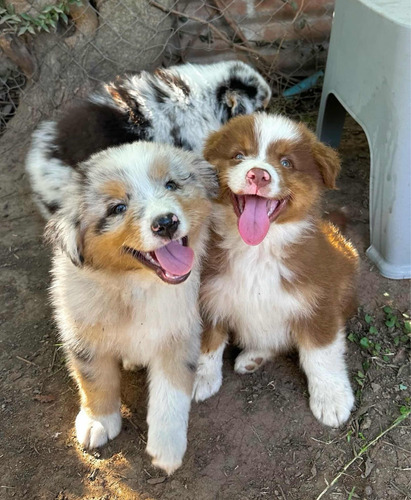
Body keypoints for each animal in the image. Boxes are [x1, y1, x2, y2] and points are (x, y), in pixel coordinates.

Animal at [44, 140, 219, 472]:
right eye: (117, 208)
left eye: (171, 184)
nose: (166, 223)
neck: (137, 285)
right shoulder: (82, 333)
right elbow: (94, 378)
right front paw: (98, 421)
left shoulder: (179, 331)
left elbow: (171, 393)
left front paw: (167, 449)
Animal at [195, 114, 358, 430]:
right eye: (238, 156)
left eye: (286, 163)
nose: (258, 175)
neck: (257, 251)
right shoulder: (208, 294)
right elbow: (209, 340)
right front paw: (201, 376)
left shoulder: (319, 300)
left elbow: (321, 353)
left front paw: (332, 398)